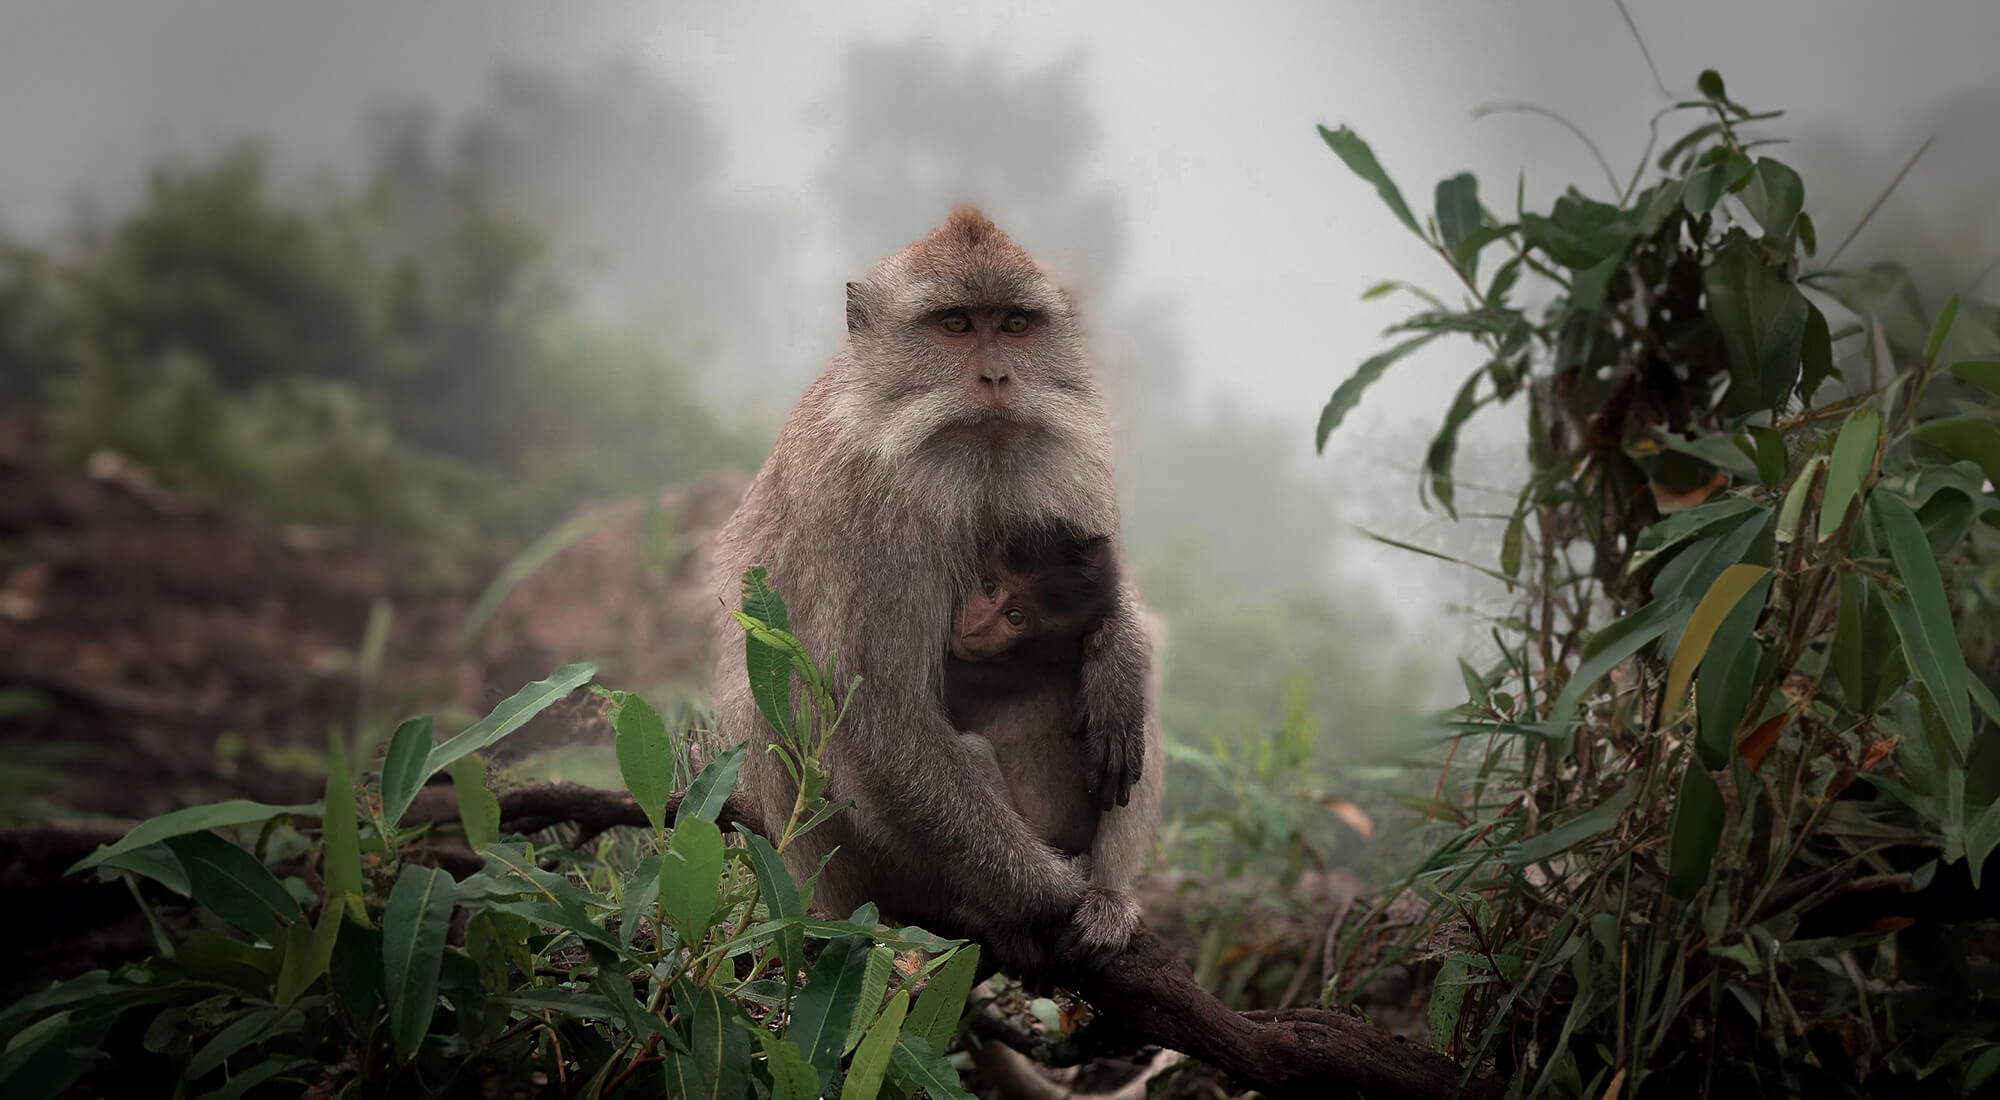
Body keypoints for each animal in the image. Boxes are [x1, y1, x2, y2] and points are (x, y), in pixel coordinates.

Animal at [704, 207, 1159, 980]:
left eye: (1014, 324)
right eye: (954, 325)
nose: (998, 375)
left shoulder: (1070, 460)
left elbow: (1110, 602)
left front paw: (1118, 663)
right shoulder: (869, 499)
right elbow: (880, 711)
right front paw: (1049, 895)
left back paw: (1109, 899)